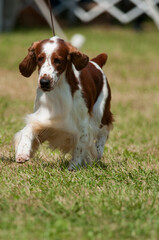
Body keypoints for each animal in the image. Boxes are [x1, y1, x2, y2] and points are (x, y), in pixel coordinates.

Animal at [14, 36, 113, 170]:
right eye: (39, 58)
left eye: (58, 60)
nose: (44, 82)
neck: (57, 90)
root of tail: (95, 63)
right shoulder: (42, 117)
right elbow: (28, 130)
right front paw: (22, 152)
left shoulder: (82, 124)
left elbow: (80, 146)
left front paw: (73, 166)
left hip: (101, 111)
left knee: (104, 131)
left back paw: (98, 151)